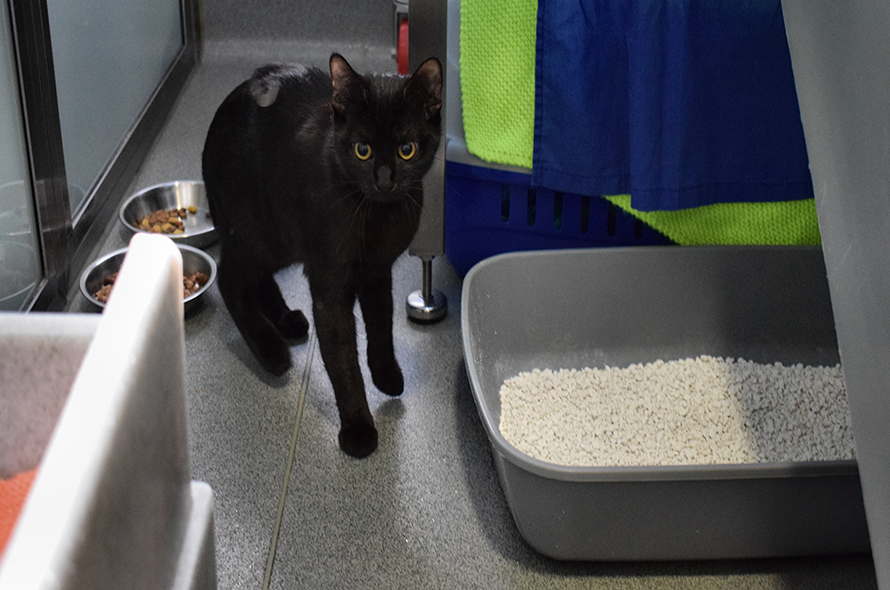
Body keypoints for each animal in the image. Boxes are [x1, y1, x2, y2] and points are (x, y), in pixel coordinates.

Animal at [199, 54, 438, 458]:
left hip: (281, 239)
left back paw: (286, 321)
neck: (376, 215)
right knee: (229, 276)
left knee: (256, 277)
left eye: (407, 149)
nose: (384, 180)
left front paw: (385, 374)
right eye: (362, 150)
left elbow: (381, 325)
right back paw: (271, 351)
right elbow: (341, 358)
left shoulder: (378, 272)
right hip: (259, 232)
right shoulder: (330, 284)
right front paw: (358, 428)